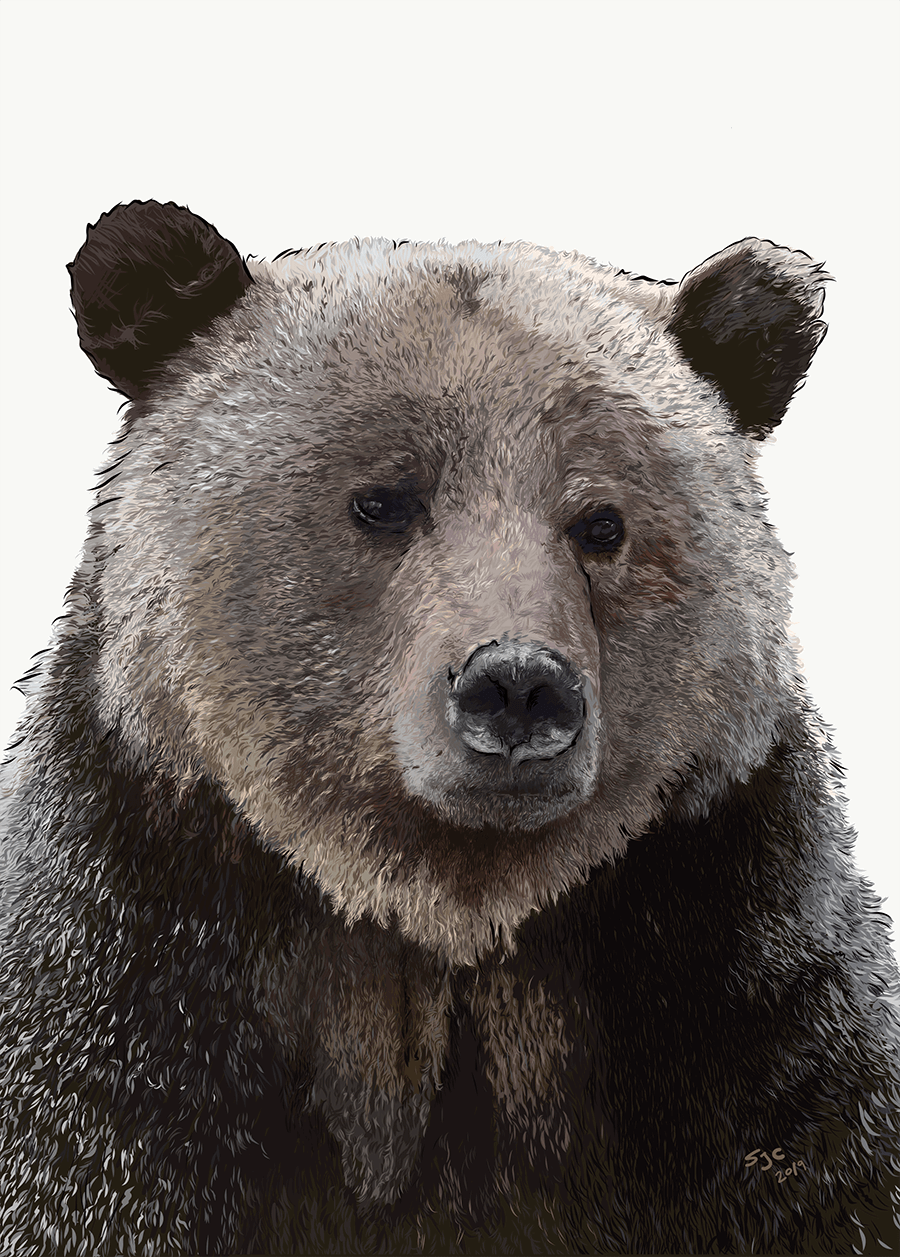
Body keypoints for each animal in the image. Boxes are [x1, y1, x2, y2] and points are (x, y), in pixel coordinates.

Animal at [0, 198, 897, 1256]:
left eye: (601, 524)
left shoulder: (737, 980)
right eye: (382, 501)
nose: (516, 686)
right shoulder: (128, 979)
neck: (445, 912)